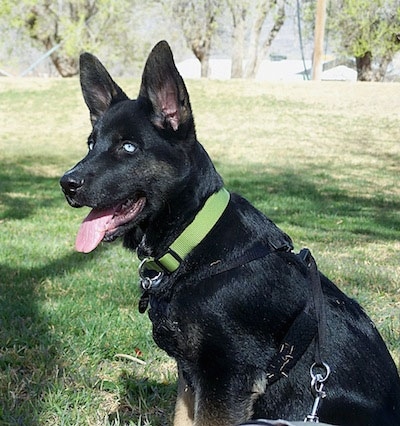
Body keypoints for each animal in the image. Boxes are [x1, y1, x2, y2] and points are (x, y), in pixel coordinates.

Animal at [59, 40, 400, 426]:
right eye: (91, 144)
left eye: (128, 147)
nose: (66, 184)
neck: (193, 241)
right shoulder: (191, 377)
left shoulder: (225, 379)